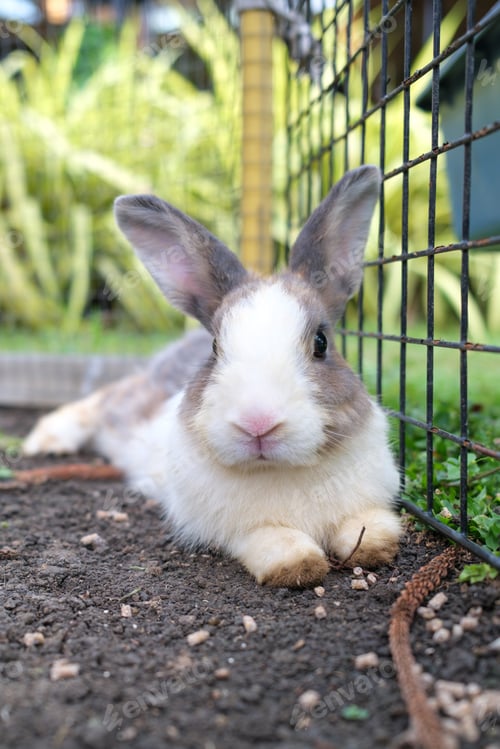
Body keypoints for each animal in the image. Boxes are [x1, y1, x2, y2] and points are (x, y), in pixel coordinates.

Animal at [23, 165, 402, 588]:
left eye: (321, 343)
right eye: (216, 347)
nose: (258, 423)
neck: (278, 470)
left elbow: (367, 526)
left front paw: (375, 546)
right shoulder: (238, 530)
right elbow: (272, 541)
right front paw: (297, 564)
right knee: (98, 401)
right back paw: (46, 443)